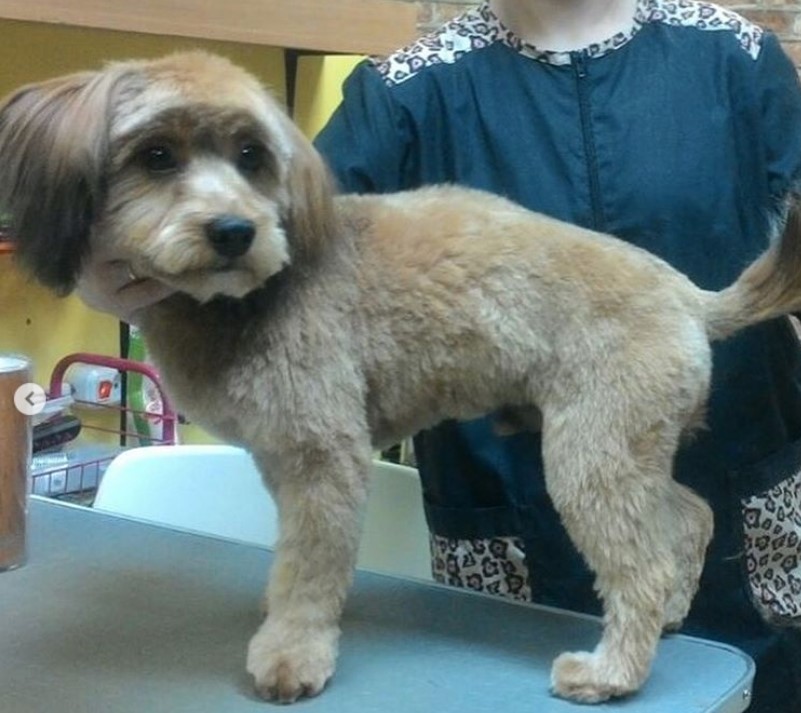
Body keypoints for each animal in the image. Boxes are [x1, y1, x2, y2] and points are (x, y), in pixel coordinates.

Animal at [1, 52, 800, 704]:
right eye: (157, 155)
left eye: (252, 156)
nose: (234, 231)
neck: (247, 297)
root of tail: (689, 296)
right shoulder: (280, 456)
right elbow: (297, 556)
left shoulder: (324, 455)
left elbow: (311, 564)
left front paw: (293, 653)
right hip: (624, 445)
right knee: (689, 516)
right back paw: (669, 613)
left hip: (590, 453)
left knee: (641, 563)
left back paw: (612, 671)